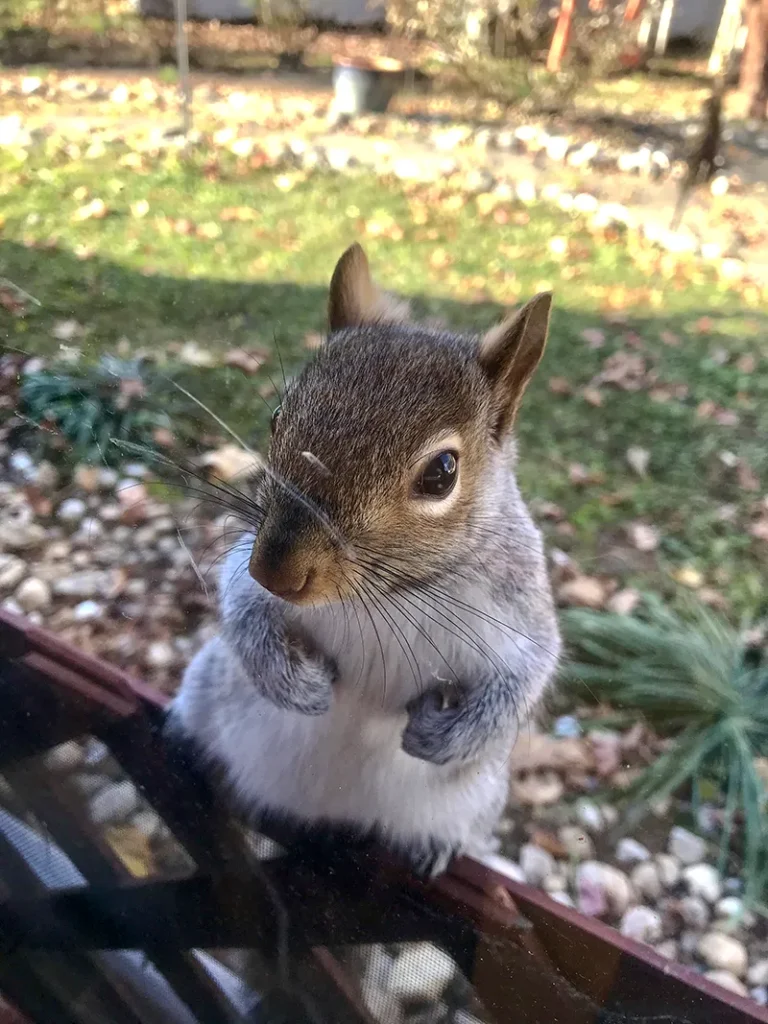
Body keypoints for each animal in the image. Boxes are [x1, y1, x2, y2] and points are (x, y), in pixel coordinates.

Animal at [168, 244, 561, 877]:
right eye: (278, 418)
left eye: (442, 472)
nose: (277, 572)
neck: (390, 593)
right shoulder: (245, 566)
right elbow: (241, 605)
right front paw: (294, 683)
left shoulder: (518, 600)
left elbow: (526, 674)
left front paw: (444, 736)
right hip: (208, 681)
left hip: (474, 800)